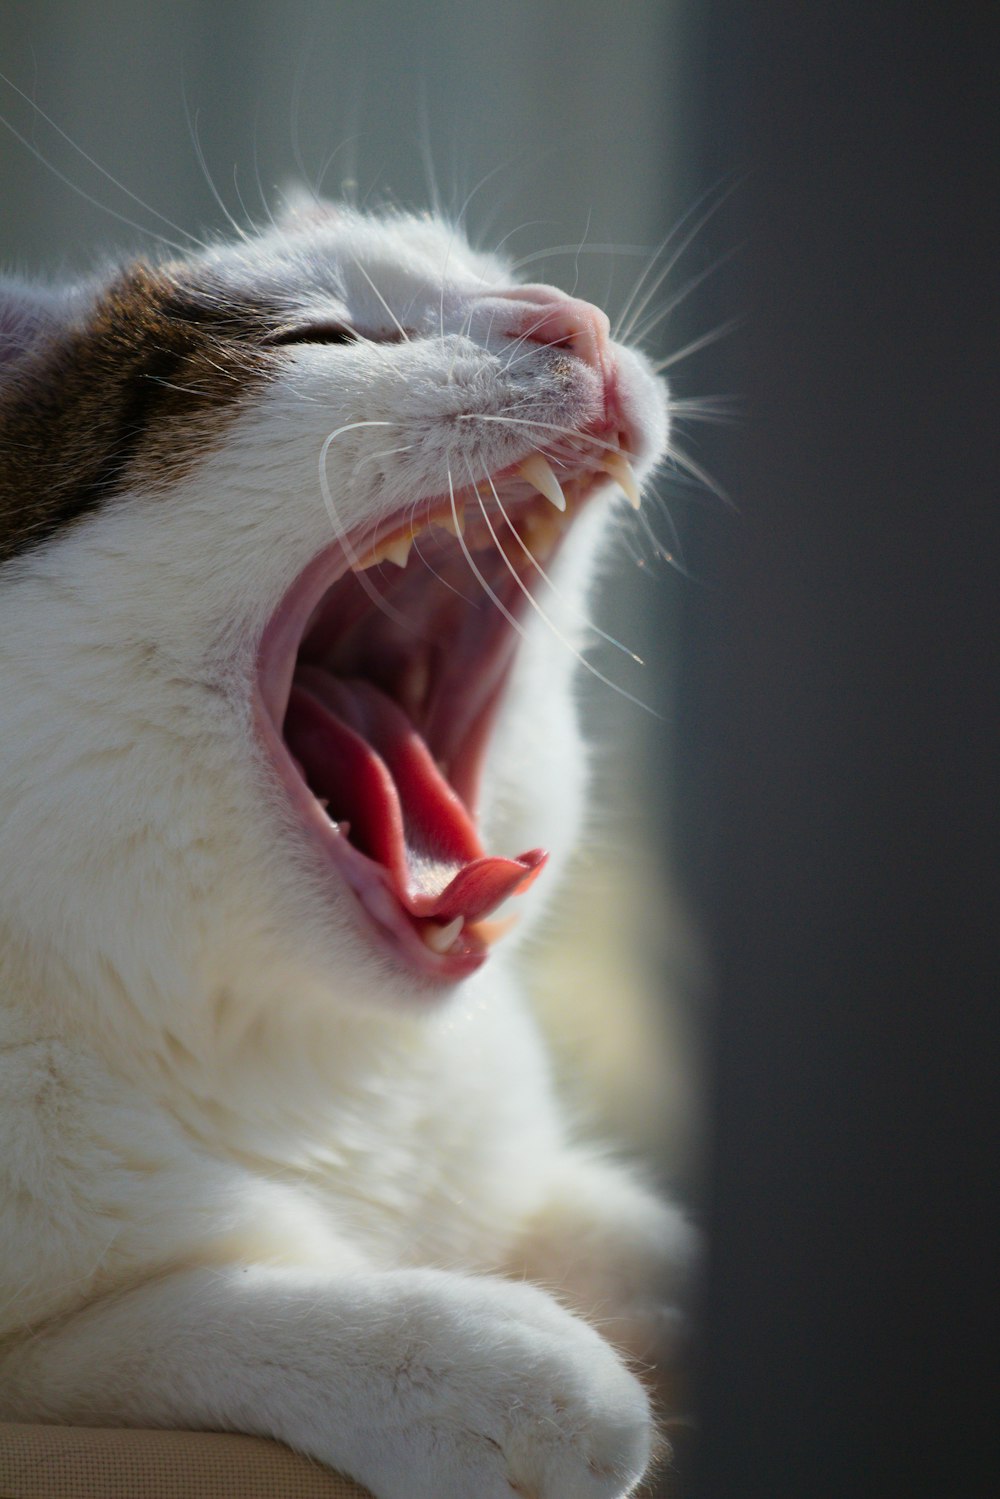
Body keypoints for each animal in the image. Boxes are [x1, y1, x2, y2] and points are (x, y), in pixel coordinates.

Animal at [0, 199, 695, 1499]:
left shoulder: (504, 1165)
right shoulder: (57, 1353)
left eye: (483, 276)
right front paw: (491, 1365)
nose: (572, 320)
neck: (308, 1075)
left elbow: (642, 1228)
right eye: (320, 339)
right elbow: (164, 1315)